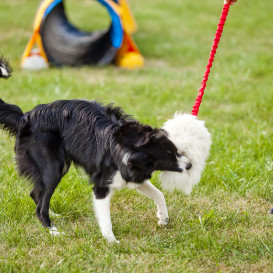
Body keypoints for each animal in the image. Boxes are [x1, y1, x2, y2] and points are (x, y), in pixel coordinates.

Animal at [0, 56, 191, 240]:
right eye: (170, 156)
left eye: (177, 150)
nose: (190, 165)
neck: (131, 145)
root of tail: (25, 117)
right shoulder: (101, 185)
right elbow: (105, 218)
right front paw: (111, 242)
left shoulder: (133, 175)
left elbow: (159, 194)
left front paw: (163, 218)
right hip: (53, 167)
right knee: (40, 204)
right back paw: (53, 231)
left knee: (36, 194)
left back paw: (53, 215)